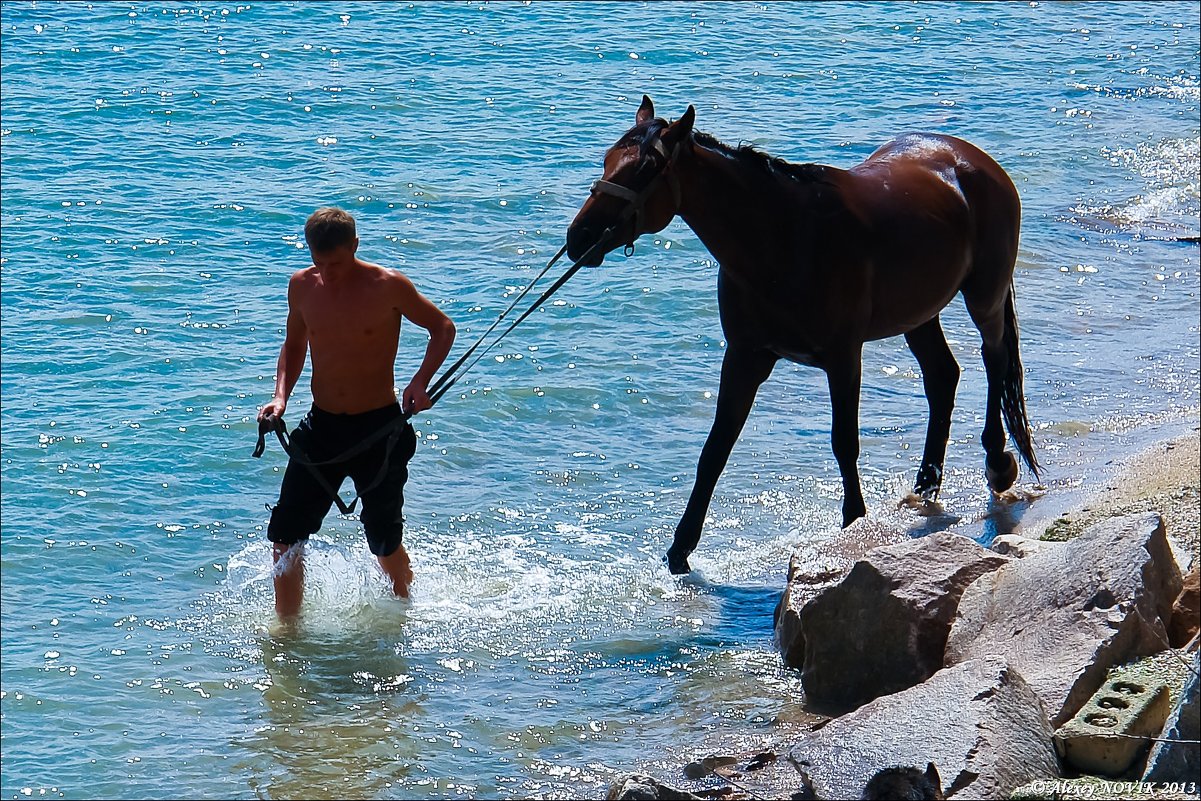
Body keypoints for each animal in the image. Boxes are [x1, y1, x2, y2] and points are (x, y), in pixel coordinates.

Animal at [566, 97, 1037, 574]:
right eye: (608, 159)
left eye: (645, 169)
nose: (579, 237)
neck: (785, 240)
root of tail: (973, 160)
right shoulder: (745, 357)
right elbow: (715, 450)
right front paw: (681, 549)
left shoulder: (843, 357)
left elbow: (844, 442)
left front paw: (854, 523)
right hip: (919, 314)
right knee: (942, 377)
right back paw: (925, 487)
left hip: (984, 295)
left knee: (994, 358)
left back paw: (997, 463)